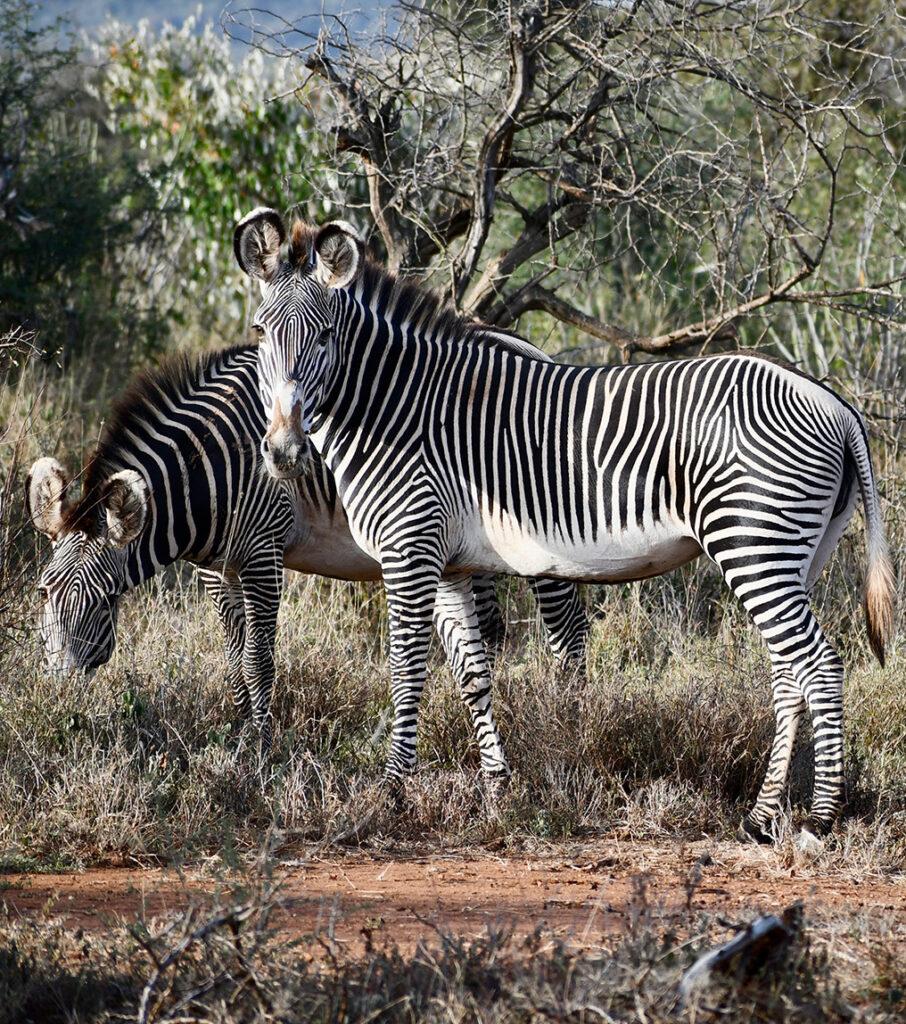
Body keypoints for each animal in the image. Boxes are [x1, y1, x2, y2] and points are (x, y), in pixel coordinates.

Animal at [27, 345, 587, 752]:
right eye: (43, 593)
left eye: (106, 599)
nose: (59, 701)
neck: (212, 470)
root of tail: (533, 347)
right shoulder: (214, 568)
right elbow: (233, 655)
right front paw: (240, 731)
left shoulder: (263, 555)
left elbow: (259, 659)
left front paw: (260, 748)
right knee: (489, 635)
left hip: (540, 539)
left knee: (568, 633)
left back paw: (568, 722)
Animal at [233, 208, 895, 841]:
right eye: (260, 332)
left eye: (324, 336)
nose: (284, 451)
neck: (396, 409)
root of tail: (836, 404)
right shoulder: (448, 565)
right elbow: (473, 675)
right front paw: (496, 791)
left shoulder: (409, 551)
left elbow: (405, 672)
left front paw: (391, 792)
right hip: (796, 554)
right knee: (790, 674)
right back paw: (761, 818)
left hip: (754, 544)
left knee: (819, 666)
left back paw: (819, 819)